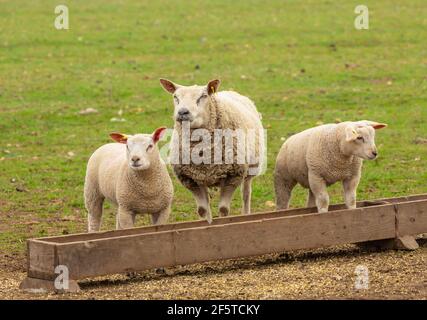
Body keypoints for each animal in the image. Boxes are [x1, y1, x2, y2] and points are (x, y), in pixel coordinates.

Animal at [160, 78, 266, 222]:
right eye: (175, 97)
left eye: (203, 96)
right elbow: (202, 210)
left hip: (252, 167)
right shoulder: (190, 179)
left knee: (246, 194)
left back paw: (246, 214)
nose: (182, 112)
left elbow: (223, 209)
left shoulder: (233, 176)